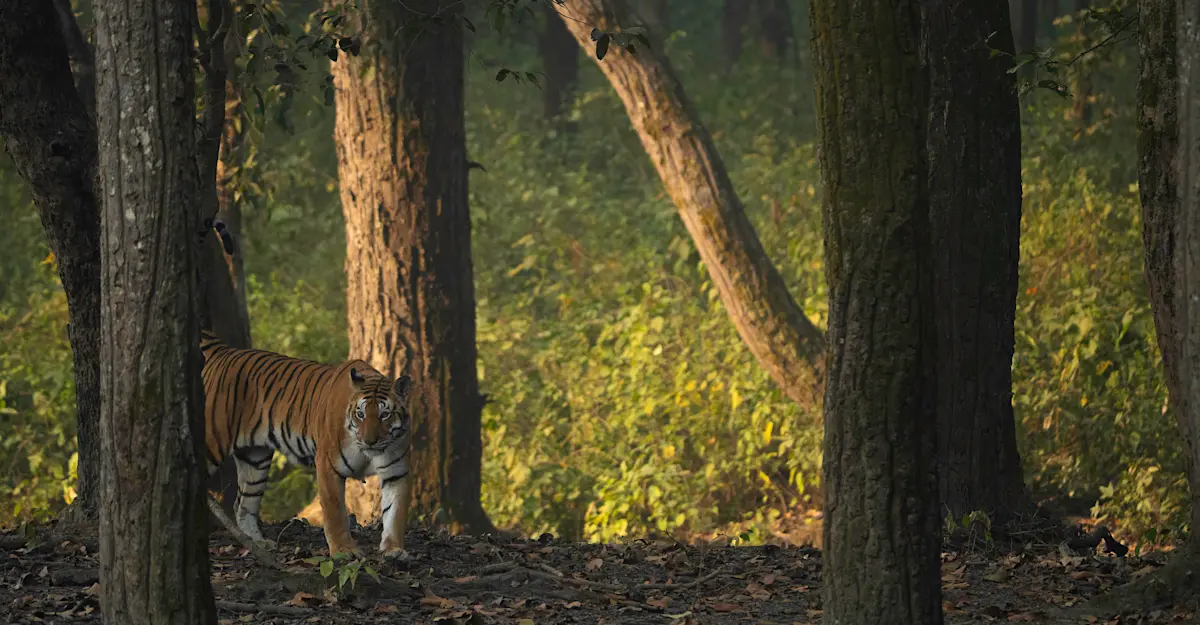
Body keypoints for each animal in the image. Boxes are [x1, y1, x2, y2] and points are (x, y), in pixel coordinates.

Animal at [200, 331, 414, 559]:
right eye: (360, 414)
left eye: (385, 415)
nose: (369, 441)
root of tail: (224, 351)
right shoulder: (328, 466)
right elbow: (335, 512)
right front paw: (344, 551)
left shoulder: (396, 472)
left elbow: (395, 513)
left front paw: (394, 549)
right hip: (212, 443)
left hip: (255, 460)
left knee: (243, 504)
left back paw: (257, 543)